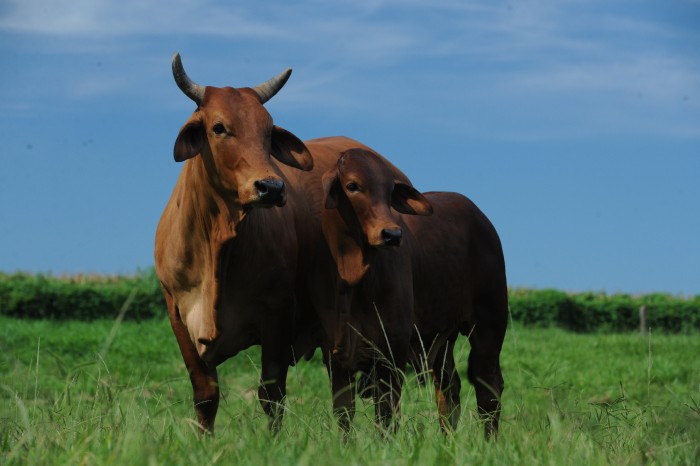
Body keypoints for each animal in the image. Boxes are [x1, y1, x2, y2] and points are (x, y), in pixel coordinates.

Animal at [318, 148, 508, 436]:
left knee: (488, 387)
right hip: (439, 339)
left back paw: (488, 441)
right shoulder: (336, 356)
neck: (354, 278)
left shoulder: (393, 349)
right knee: (449, 388)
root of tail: (481, 218)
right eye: (352, 186)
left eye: (389, 191)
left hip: (489, 325)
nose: (392, 234)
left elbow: (386, 414)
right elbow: (344, 416)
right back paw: (447, 440)